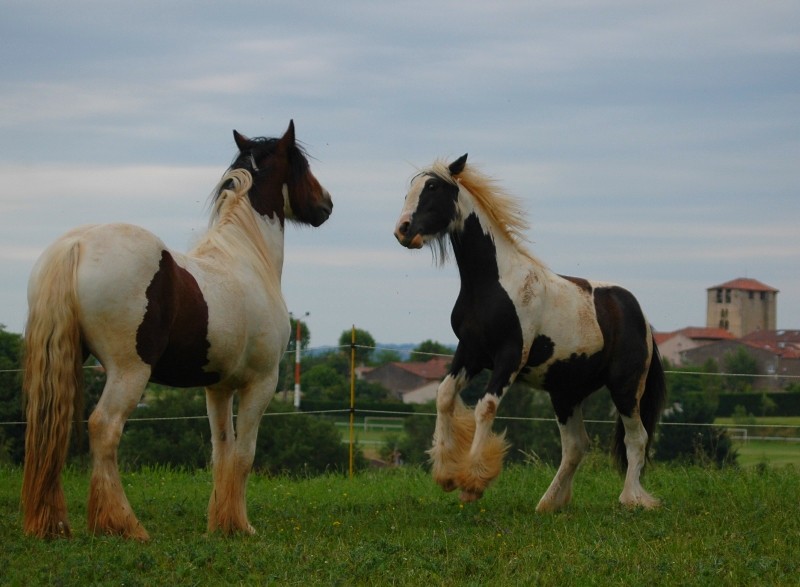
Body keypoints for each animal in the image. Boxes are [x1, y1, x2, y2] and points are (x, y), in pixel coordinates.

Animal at [392, 155, 664, 510]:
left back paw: (630, 499)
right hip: (566, 394)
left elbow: (485, 407)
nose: (403, 230)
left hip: (626, 387)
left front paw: (472, 482)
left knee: (636, 438)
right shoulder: (470, 352)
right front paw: (447, 474)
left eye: (433, 188)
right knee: (576, 446)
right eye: (409, 189)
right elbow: (444, 396)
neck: (493, 285)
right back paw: (548, 504)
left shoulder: (509, 357)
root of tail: (640, 316)